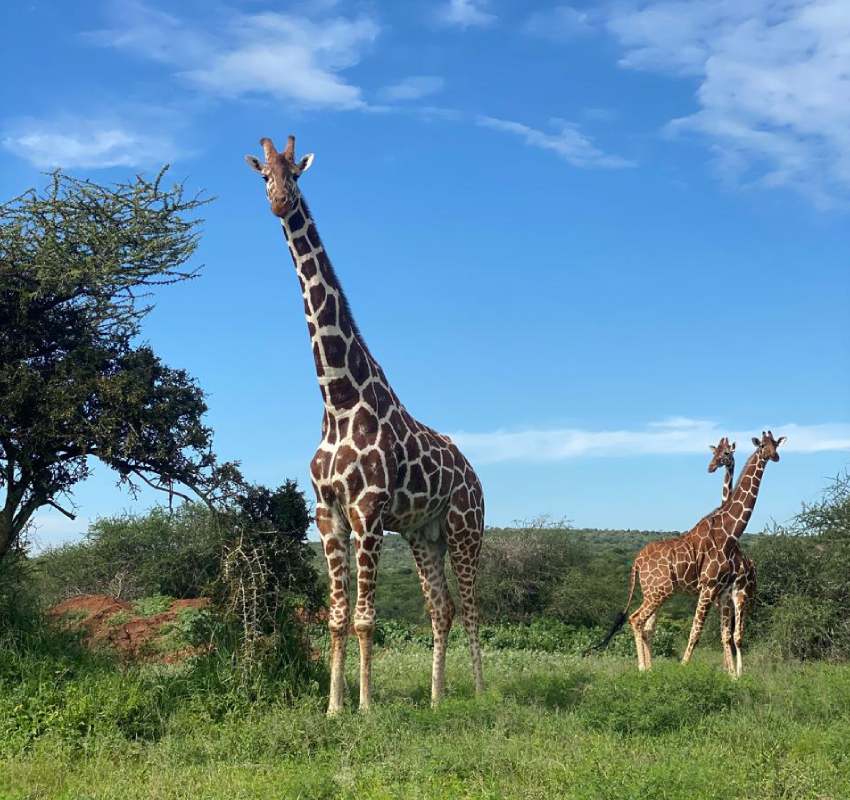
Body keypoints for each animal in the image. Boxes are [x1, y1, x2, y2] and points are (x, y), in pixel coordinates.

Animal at [245, 136, 485, 714]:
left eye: (296, 173)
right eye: (263, 174)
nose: (279, 201)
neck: (337, 400)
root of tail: (475, 475)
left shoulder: (368, 512)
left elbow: (365, 619)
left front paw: (366, 707)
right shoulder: (328, 514)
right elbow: (335, 619)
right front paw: (334, 707)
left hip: (466, 528)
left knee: (472, 607)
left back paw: (480, 692)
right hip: (424, 533)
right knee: (442, 608)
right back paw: (437, 699)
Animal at [597, 431, 783, 674]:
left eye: (775, 444)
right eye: (762, 445)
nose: (775, 456)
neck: (730, 533)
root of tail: (636, 561)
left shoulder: (722, 592)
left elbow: (723, 635)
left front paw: (731, 675)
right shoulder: (709, 587)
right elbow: (696, 632)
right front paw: (685, 668)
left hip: (661, 592)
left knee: (649, 625)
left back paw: (649, 668)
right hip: (661, 591)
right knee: (638, 620)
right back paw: (644, 669)